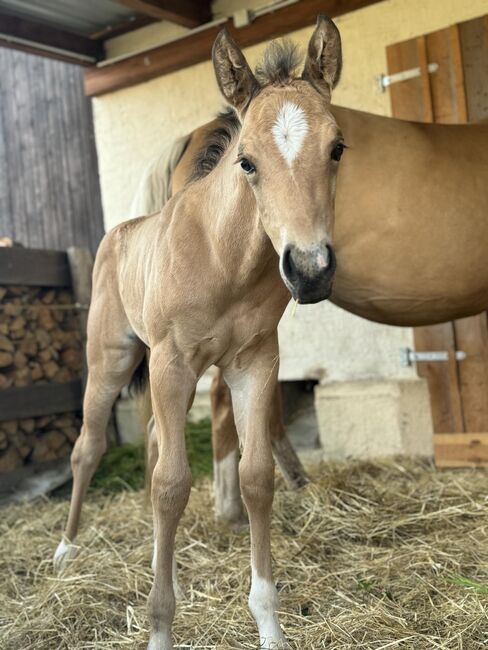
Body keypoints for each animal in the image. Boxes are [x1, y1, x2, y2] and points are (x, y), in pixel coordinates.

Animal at [54, 16, 344, 648]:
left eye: (338, 148)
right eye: (247, 161)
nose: (309, 269)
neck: (223, 259)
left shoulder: (254, 363)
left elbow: (255, 476)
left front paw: (269, 626)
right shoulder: (171, 362)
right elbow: (171, 484)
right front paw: (160, 627)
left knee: (154, 444)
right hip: (110, 361)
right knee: (89, 447)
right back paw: (65, 550)